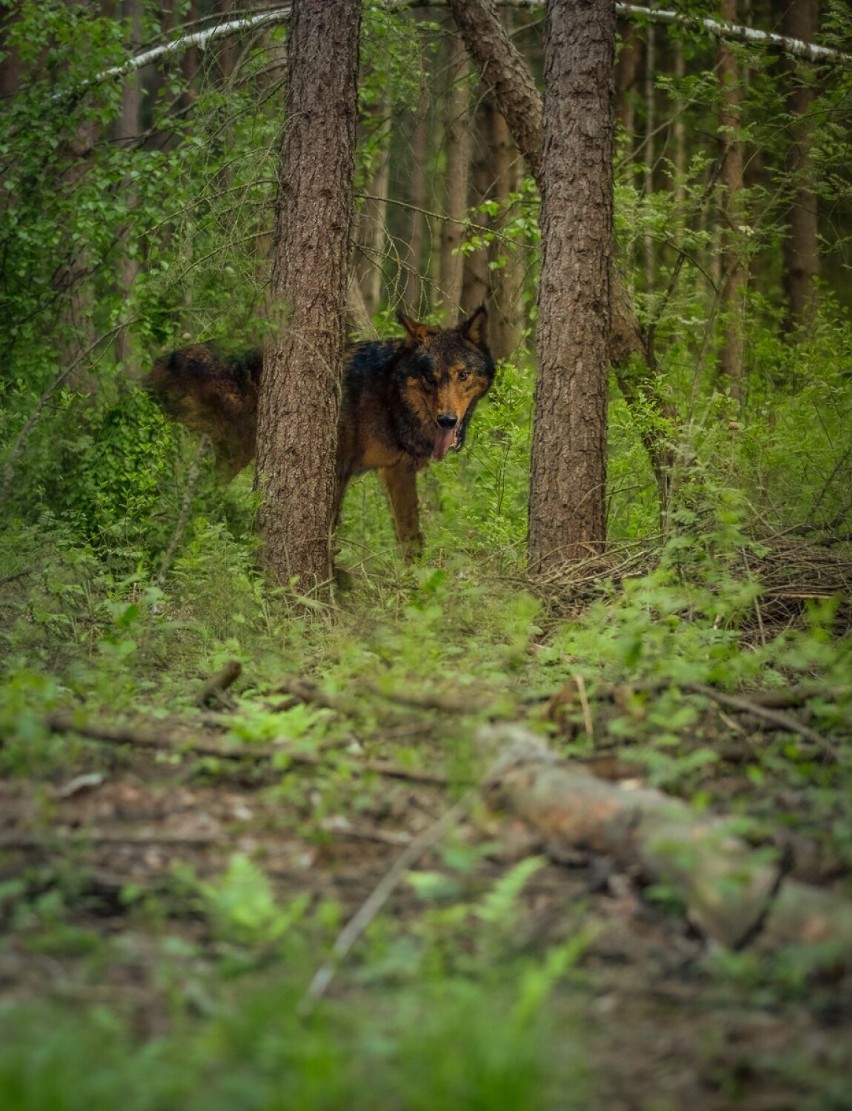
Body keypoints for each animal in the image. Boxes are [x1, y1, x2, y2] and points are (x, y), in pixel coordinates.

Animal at [146, 308, 493, 559]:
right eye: (429, 378)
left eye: (462, 375)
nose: (446, 420)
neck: (388, 393)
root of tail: (160, 363)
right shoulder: (339, 468)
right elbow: (328, 532)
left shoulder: (398, 473)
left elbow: (411, 539)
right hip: (235, 451)